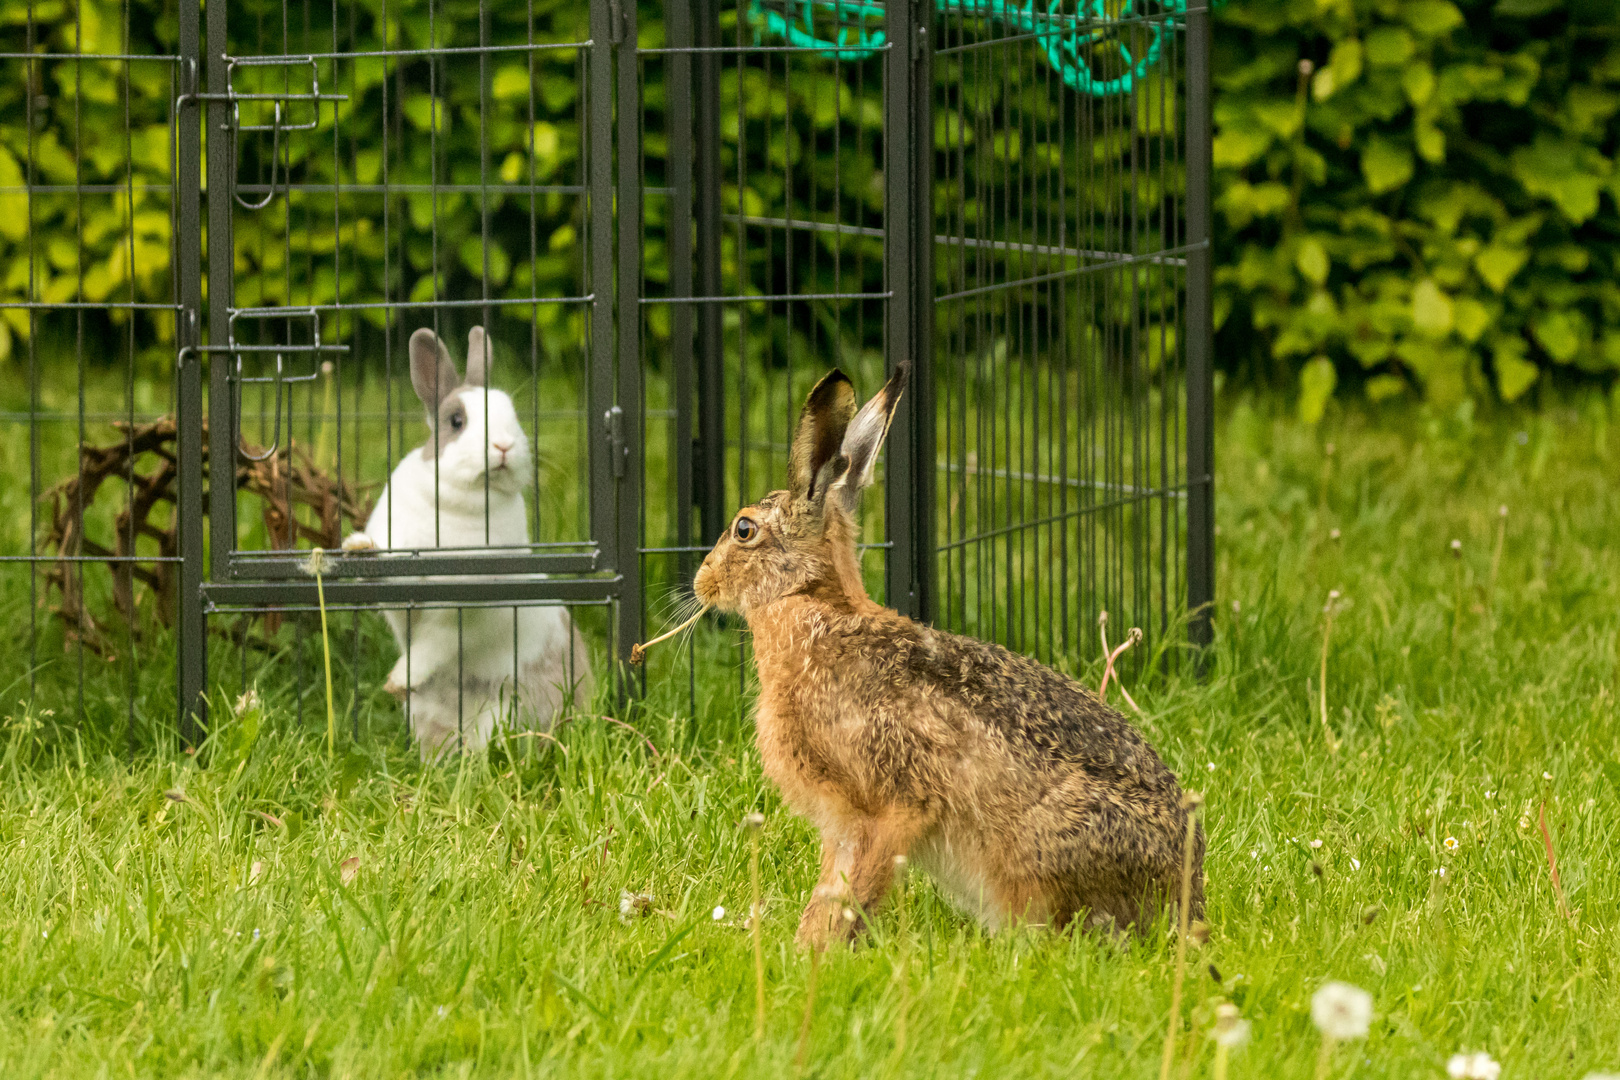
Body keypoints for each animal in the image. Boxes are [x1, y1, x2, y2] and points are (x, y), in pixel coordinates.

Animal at [343, 325, 596, 757]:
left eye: (513, 416)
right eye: (456, 421)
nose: (503, 446)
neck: (461, 501)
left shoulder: (462, 607)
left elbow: (434, 645)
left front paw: (398, 681)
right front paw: (358, 548)